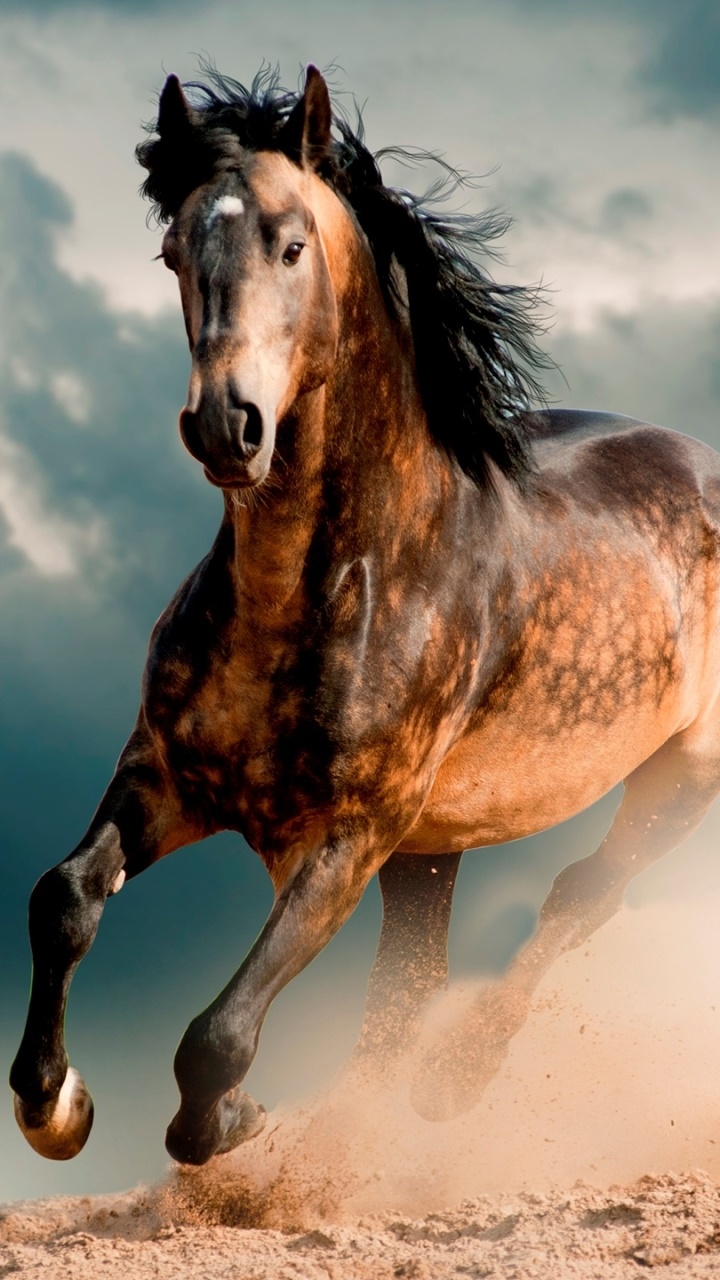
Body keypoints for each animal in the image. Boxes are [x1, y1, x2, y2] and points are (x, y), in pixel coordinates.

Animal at [10, 63, 720, 1167]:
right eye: (173, 251)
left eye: (291, 244)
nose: (227, 425)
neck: (316, 592)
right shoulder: (167, 777)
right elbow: (64, 899)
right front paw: (56, 1106)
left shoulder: (348, 835)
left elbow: (217, 1035)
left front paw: (234, 1121)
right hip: (432, 851)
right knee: (413, 982)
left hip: (677, 779)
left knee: (578, 897)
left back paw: (450, 1082)